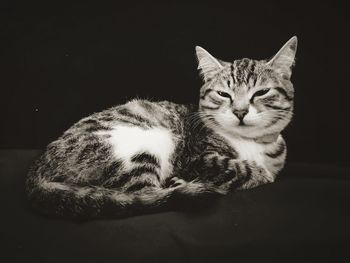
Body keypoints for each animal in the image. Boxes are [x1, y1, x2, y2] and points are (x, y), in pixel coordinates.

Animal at [25, 36, 298, 219]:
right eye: (223, 94)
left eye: (261, 92)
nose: (240, 112)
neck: (252, 144)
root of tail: (38, 169)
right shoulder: (196, 159)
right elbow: (246, 170)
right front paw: (258, 173)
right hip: (144, 143)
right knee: (141, 194)